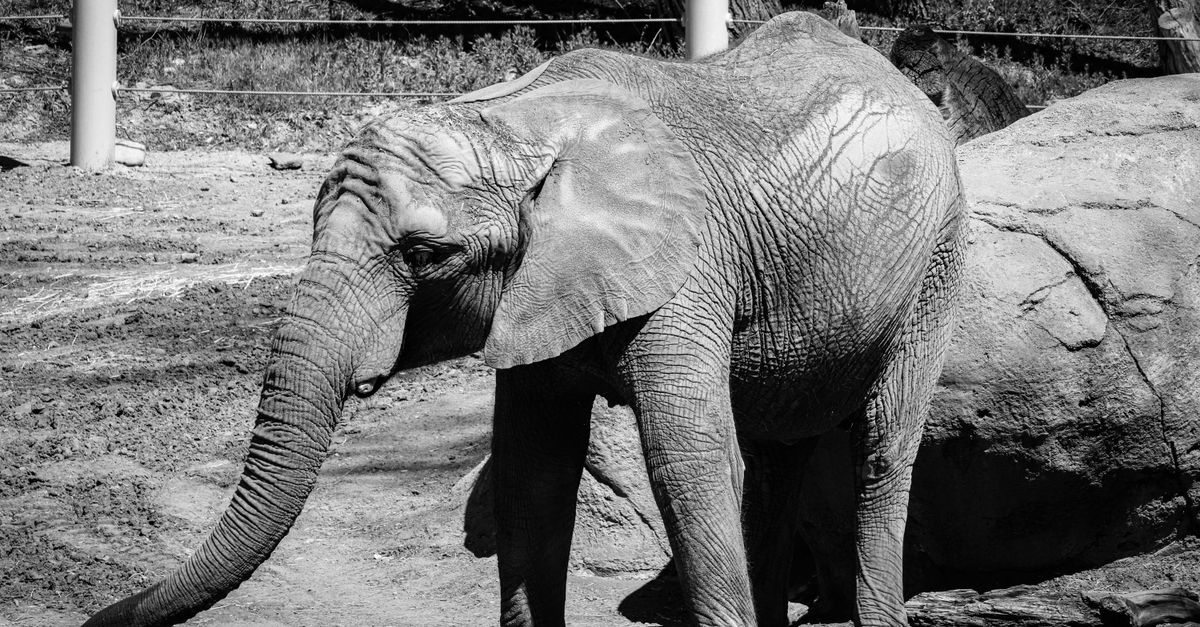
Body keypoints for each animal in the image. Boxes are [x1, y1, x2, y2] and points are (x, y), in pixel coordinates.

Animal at [85, 12, 965, 627]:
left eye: (425, 255)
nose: (98, 613)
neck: (516, 121)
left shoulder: (687, 276)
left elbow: (689, 465)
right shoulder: (543, 290)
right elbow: (534, 472)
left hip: (937, 261)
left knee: (880, 451)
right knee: (779, 457)